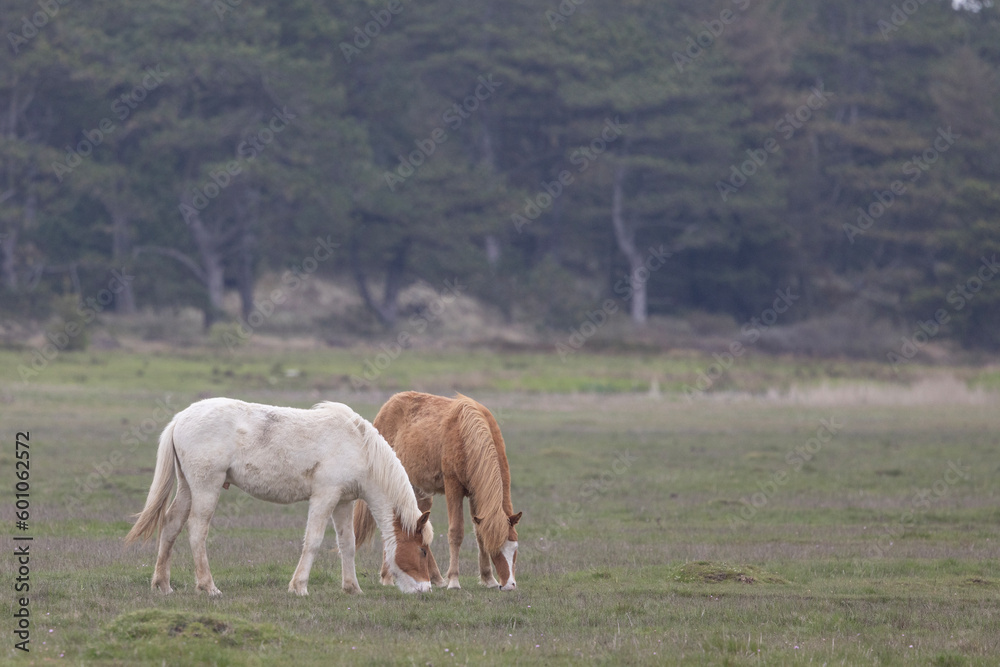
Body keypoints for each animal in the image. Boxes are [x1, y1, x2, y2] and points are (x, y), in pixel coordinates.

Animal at [124, 397, 433, 596]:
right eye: (422, 550)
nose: (426, 588)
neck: (359, 446)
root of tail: (179, 419)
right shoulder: (325, 496)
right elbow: (313, 541)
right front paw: (299, 587)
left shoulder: (343, 502)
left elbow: (347, 544)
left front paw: (352, 588)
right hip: (205, 488)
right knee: (197, 530)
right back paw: (208, 587)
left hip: (187, 488)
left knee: (171, 525)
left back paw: (163, 585)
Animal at [354, 392, 521, 591]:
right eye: (495, 550)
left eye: (515, 548)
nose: (509, 584)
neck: (466, 432)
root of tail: (388, 405)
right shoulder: (453, 486)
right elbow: (456, 532)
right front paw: (454, 581)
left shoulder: (475, 493)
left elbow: (480, 533)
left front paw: (488, 579)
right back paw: (387, 577)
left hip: (418, 491)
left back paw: (436, 578)